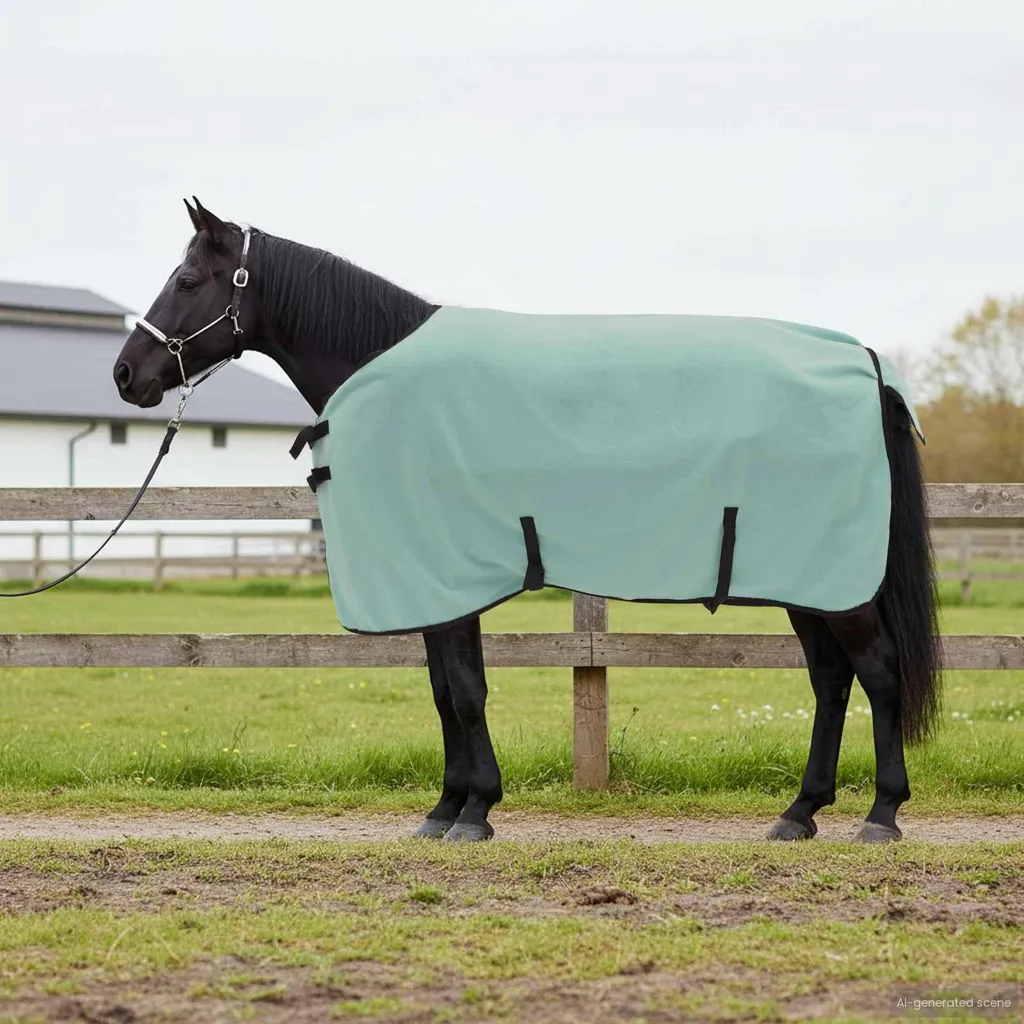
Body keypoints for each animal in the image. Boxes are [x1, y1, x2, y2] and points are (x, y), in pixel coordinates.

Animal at [113, 198, 941, 843]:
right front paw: (448, 806)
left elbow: (464, 690)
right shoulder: (439, 584)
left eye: (187, 280)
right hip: (808, 578)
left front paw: (473, 810)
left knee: (878, 670)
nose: (126, 374)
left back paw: (881, 814)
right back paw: (800, 813)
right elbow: (447, 689)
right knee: (831, 679)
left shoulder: (446, 578)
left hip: (836, 582)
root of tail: (865, 364)